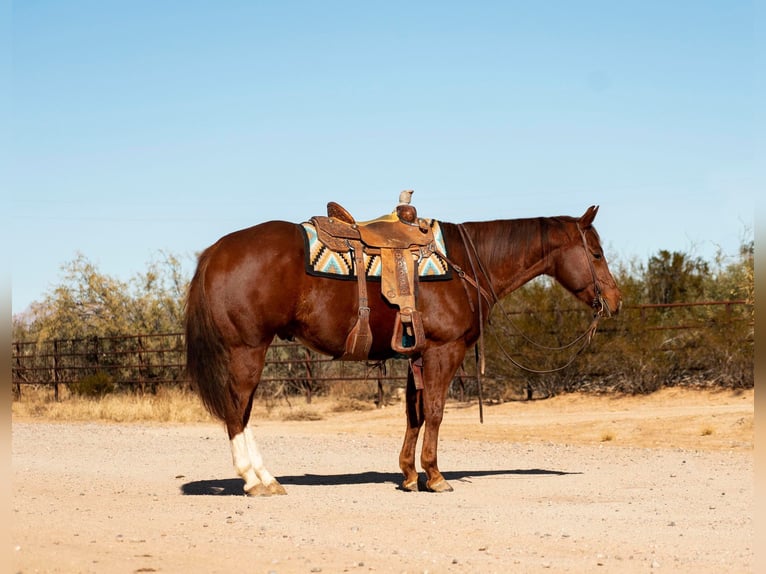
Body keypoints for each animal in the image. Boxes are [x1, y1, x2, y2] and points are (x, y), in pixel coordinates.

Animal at [186, 202, 624, 496]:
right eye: (597, 253)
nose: (615, 301)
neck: (467, 264)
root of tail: (215, 251)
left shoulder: (416, 354)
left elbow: (414, 414)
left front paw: (410, 475)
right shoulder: (443, 351)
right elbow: (436, 411)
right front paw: (435, 476)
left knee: (242, 411)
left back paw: (265, 478)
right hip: (246, 349)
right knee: (236, 410)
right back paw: (255, 480)